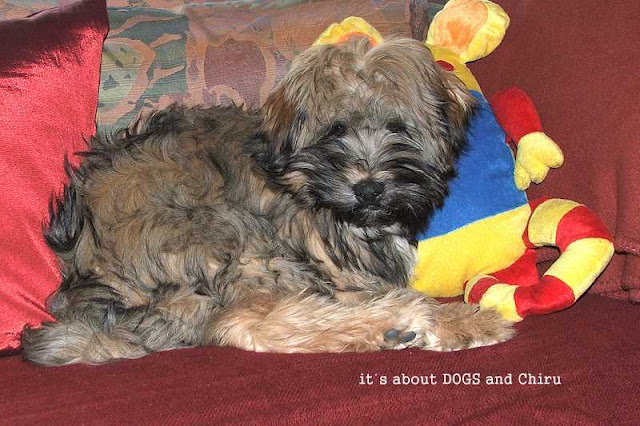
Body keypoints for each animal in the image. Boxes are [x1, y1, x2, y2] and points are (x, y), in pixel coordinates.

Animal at [21, 37, 516, 366]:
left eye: (398, 128)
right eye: (335, 131)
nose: (369, 188)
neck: (306, 185)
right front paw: (457, 320)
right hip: (229, 238)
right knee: (246, 322)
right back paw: (413, 321)